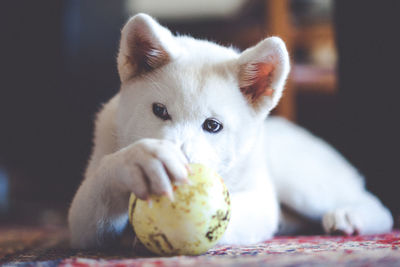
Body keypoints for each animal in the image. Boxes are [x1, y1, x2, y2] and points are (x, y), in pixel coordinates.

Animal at [67, 14, 392, 249]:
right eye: (159, 111)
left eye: (212, 126)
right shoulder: (84, 225)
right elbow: (95, 195)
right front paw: (138, 161)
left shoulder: (261, 200)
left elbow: (236, 213)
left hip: (302, 183)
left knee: (376, 205)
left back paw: (350, 215)